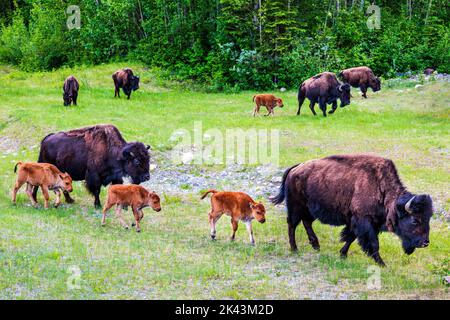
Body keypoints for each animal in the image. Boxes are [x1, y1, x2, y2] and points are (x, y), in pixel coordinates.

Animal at [270, 154, 432, 266]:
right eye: (414, 220)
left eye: (428, 218)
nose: (425, 243)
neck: (382, 190)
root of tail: (295, 168)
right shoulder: (364, 221)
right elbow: (373, 243)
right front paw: (382, 264)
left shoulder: (359, 221)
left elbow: (351, 237)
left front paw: (342, 255)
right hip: (295, 207)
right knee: (292, 224)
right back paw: (294, 249)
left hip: (309, 209)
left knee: (306, 222)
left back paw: (316, 246)